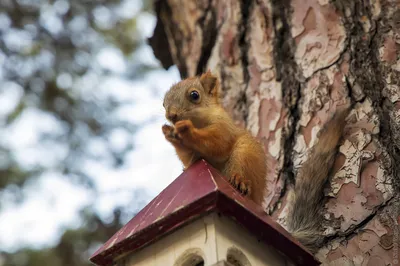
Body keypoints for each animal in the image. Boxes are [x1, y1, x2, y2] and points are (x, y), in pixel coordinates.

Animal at [161, 69, 268, 205]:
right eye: (163, 103)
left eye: (194, 95)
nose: (171, 115)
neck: (198, 123)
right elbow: (187, 157)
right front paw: (170, 133)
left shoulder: (223, 125)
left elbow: (217, 142)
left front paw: (188, 131)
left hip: (246, 153)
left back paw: (240, 180)